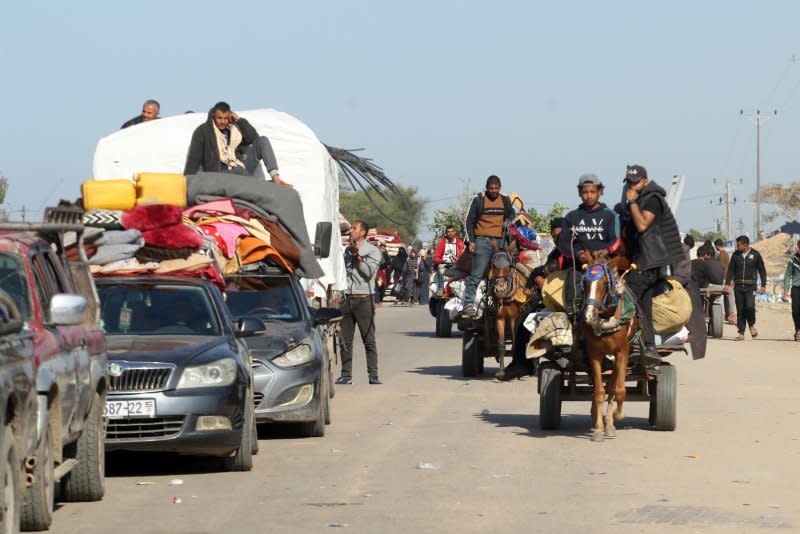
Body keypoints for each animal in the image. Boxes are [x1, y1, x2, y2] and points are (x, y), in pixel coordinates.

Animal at [484, 243, 528, 382]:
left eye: (509, 266)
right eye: (493, 265)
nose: (500, 289)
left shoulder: (515, 319)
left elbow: (514, 344)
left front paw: (515, 370)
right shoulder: (500, 318)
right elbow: (501, 345)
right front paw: (501, 371)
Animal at [580, 258, 640, 444]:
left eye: (606, 283)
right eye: (585, 283)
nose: (589, 315)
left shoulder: (622, 353)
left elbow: (619, 391)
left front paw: (617, 415)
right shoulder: (594, 354)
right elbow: (599, 391)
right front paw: (599, 428)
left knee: (613, 386)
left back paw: (611, 424)